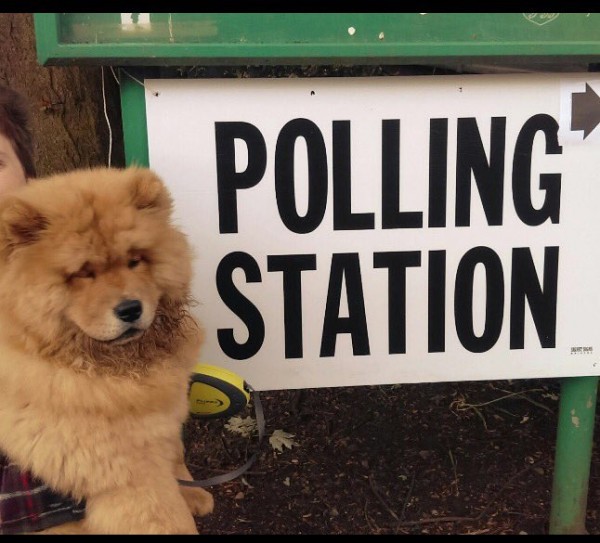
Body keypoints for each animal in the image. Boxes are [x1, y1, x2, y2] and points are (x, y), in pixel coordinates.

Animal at [0, 168, 213, 532]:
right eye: (83, 274)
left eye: (134, 261)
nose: (130, 309)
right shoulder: (129, 476)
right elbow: (168, 517)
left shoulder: (165, 421)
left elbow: (176, 454)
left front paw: (195, 494)